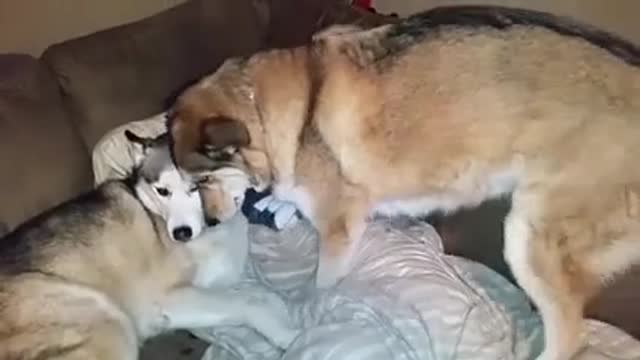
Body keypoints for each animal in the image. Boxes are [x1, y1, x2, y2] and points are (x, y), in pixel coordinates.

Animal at [168, 5, 640, 360]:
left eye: (201, 181)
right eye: (189, 184)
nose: (207, 225)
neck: (278, 113)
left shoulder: (339, 230)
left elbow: (322, 285)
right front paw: (278, 203)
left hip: (530, 239)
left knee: (571, 334)